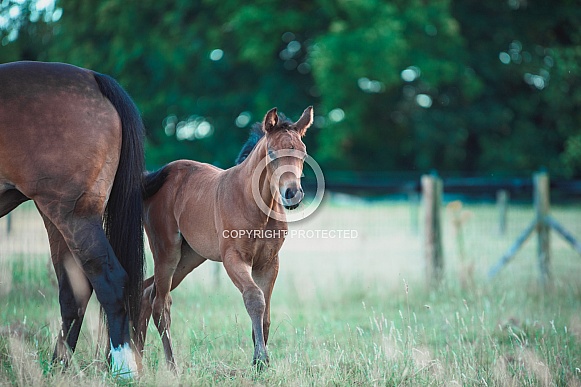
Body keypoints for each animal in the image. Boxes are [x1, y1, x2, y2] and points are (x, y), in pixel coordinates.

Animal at [136, 105, 312, 370]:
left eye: (303, 152)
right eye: (271, 153)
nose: (293, 193)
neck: (255, 206)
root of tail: (158, 176)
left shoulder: (268, 263)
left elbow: (266, 315)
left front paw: (259, 362)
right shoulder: (234, 259)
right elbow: (254, 299)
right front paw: (261, 360)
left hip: (189, 258)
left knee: (147, 293)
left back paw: (134, 355)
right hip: (166, 252)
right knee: (160, 304)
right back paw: (171, 367)